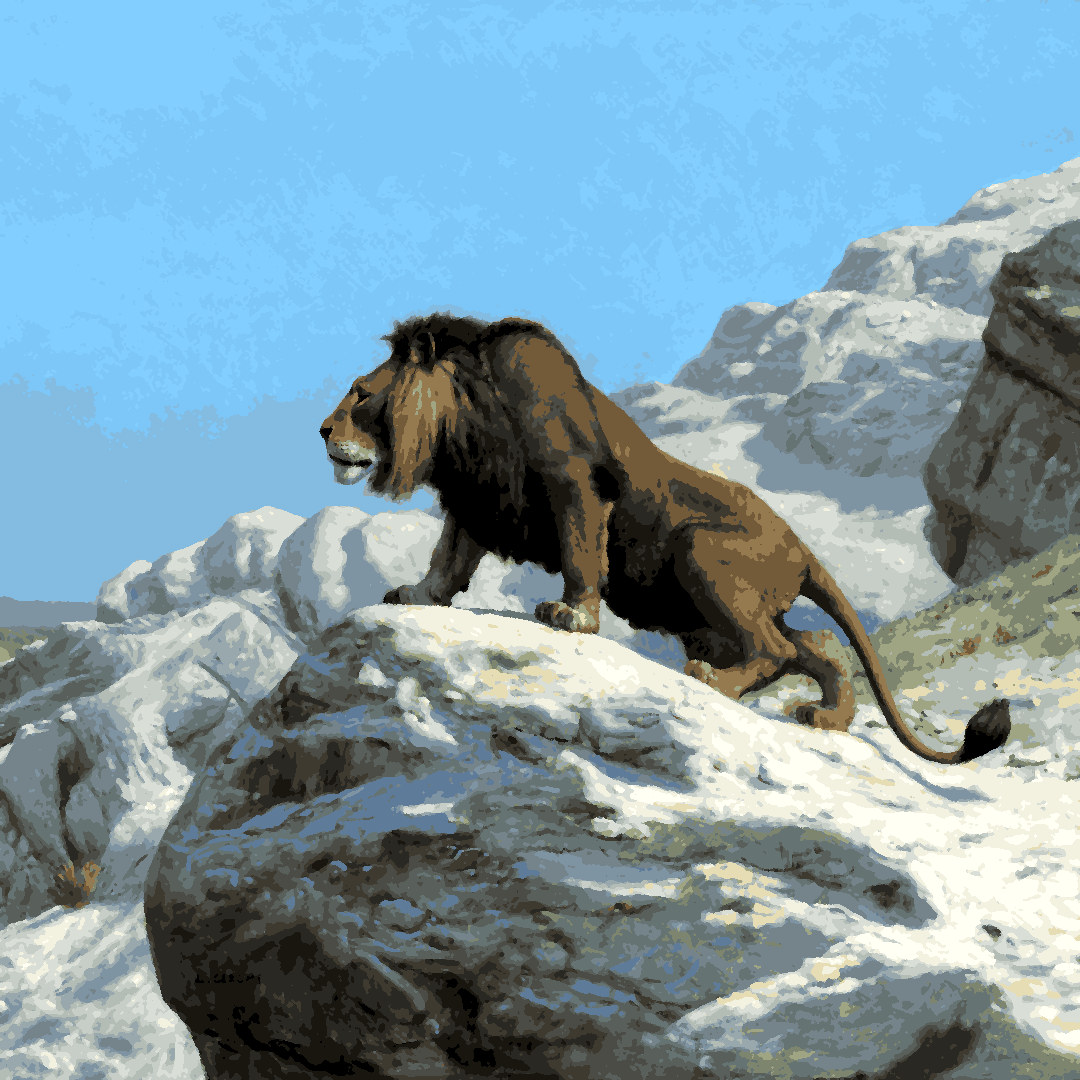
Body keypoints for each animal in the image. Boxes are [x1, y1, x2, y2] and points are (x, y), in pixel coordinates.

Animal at [320, 313, 1010, 765]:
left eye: (361, 393)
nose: (322, 430)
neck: (464, 425)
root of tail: (803, 547)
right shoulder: (477, 497)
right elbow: (449, 558)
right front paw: (416, 595)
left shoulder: (572, 480)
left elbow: (580, 552)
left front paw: (571, 616)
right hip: (715, 604)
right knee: (813, 644)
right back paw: (826, 717)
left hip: (700, 551)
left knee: (774, 648)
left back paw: (713, 682)